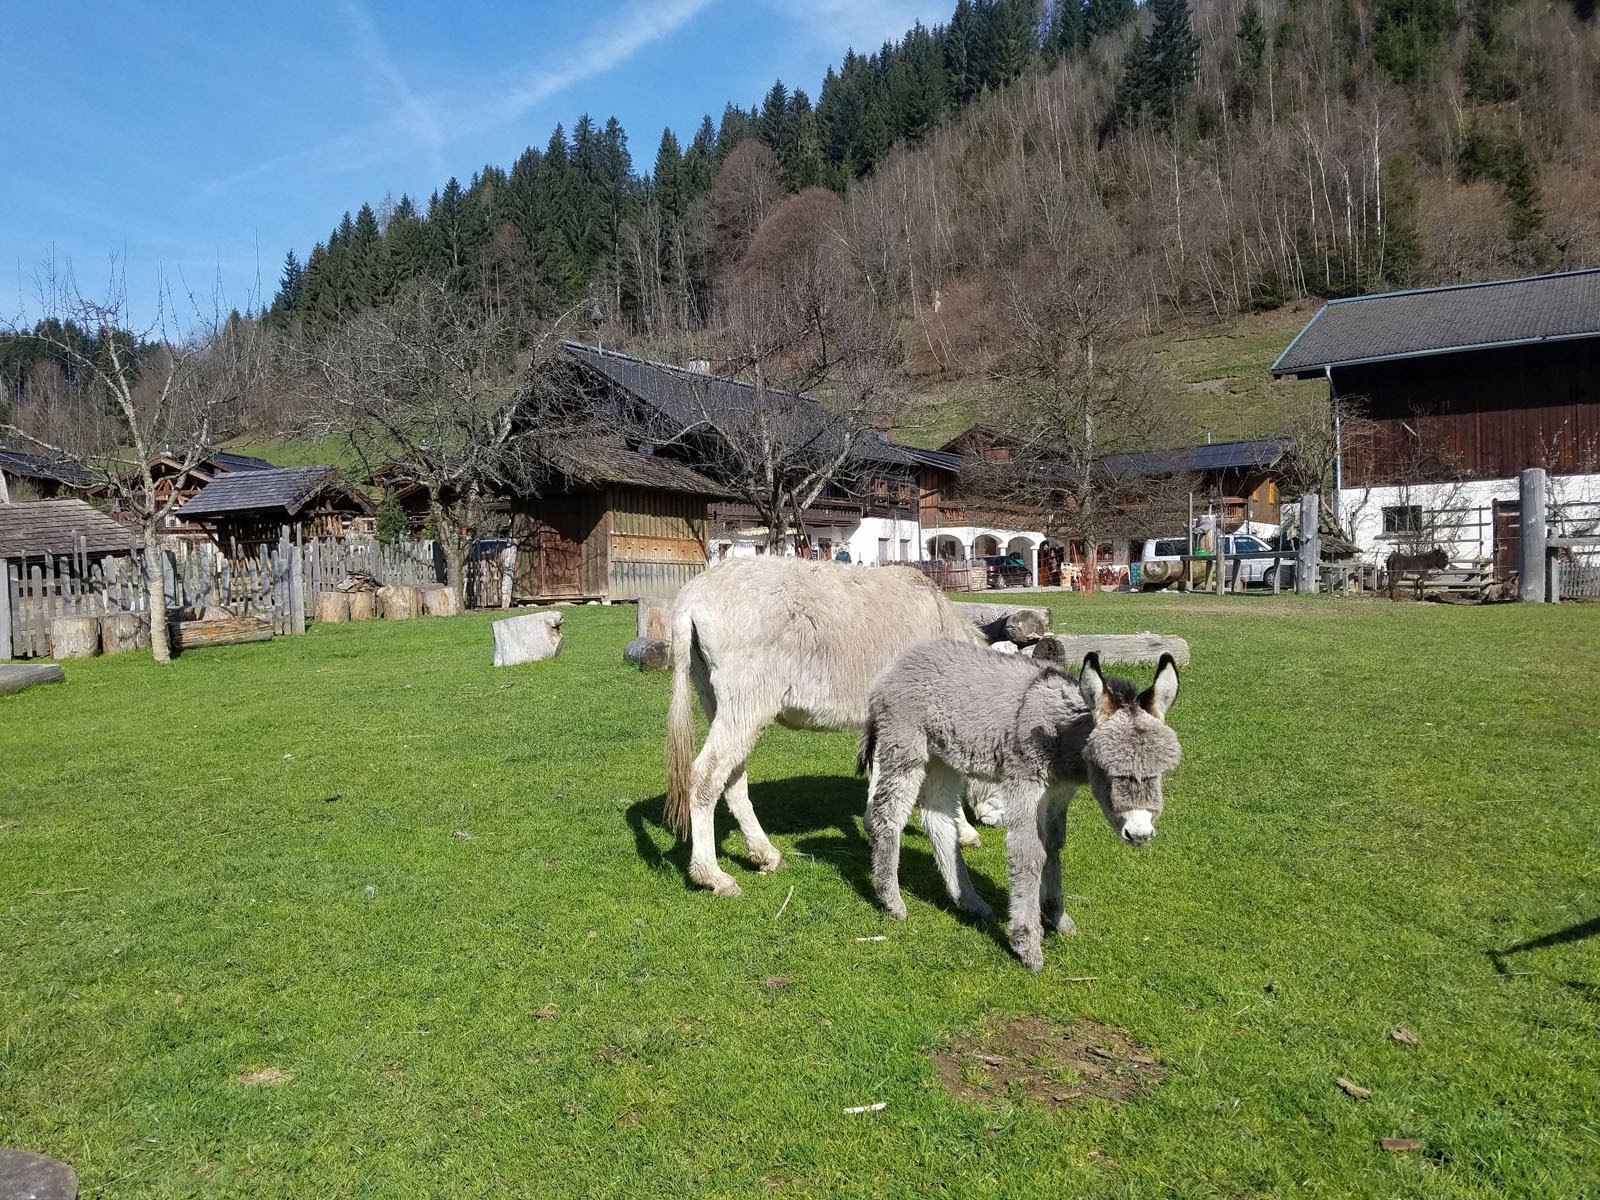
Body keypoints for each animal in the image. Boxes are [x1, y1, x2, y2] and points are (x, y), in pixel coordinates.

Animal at [857, 643, 1184, 972]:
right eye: (1106, 768)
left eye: (1161, 771)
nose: (1139, 832)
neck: (1059, 732)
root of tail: (901, 662)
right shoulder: (1025, 786)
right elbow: (1029, 855)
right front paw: (1027, 944)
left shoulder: (1058, 794)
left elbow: (1053, 845)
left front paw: (1057, 916)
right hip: (905, 747)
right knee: (888, 815)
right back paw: (891, 900)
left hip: (942, 759)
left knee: (939, 820)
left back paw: (969, 901)